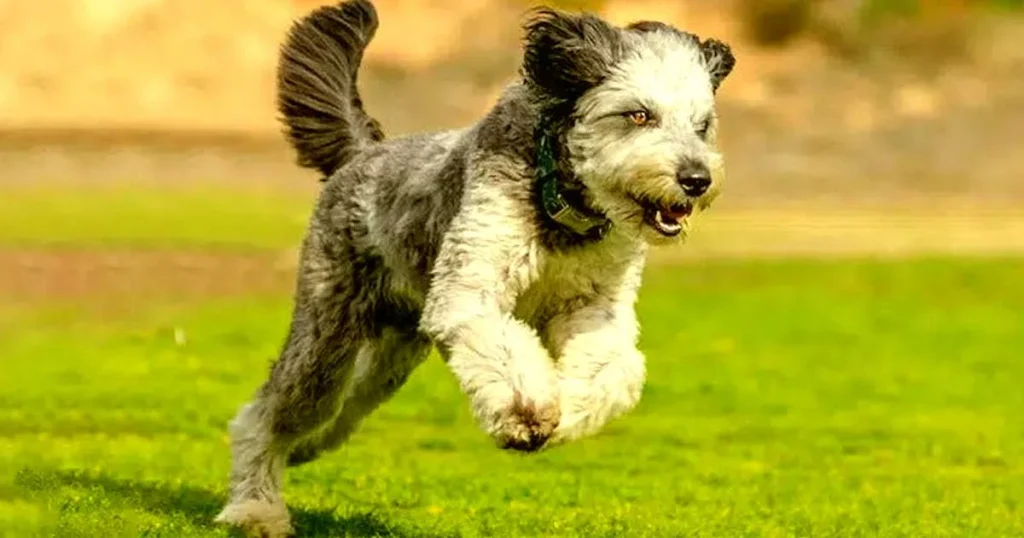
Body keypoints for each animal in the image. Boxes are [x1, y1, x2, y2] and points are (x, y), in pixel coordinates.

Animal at [216, 2, 733, 532]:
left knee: (342, 411)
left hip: (390, 357)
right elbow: (502, 346)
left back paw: (305, 451)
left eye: (702, 125)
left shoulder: (594, 305)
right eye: (638, 114)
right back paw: (256, 508)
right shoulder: (471, 284)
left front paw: (566, 410)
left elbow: (616, 370)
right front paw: (526, 413)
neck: (562, 207)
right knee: (264, 414)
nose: (696, 179)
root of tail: (364, 153)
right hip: (327, 335)